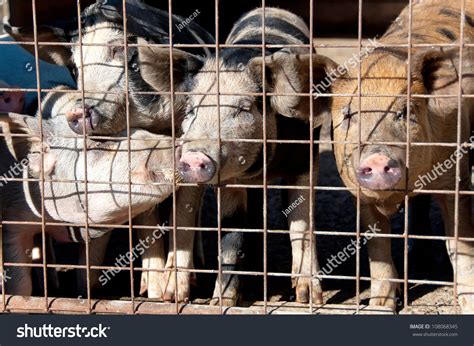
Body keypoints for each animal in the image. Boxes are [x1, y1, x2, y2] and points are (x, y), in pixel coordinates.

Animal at [0, 87, 178, 294]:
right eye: (100, 142)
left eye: (141, 129)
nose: (178, 144)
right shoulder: (13, 223)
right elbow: (20, 282)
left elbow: (89, 269)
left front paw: (87, 294)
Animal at [141, 7, 336, 306]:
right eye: (192, 109)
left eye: (243, 108)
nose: (194, 156)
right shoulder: (228, 180)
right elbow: (230, 237)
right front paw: (218, 301)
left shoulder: (305, 159)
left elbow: (301, 225)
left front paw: (308, 298)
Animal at [318, 0, 474, 312]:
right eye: (349, 114)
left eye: (404, 112)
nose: (377, 158)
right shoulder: (361, 195)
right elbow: (378, 247)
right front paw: (378, 307)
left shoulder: (456, 174)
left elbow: (460, 244)